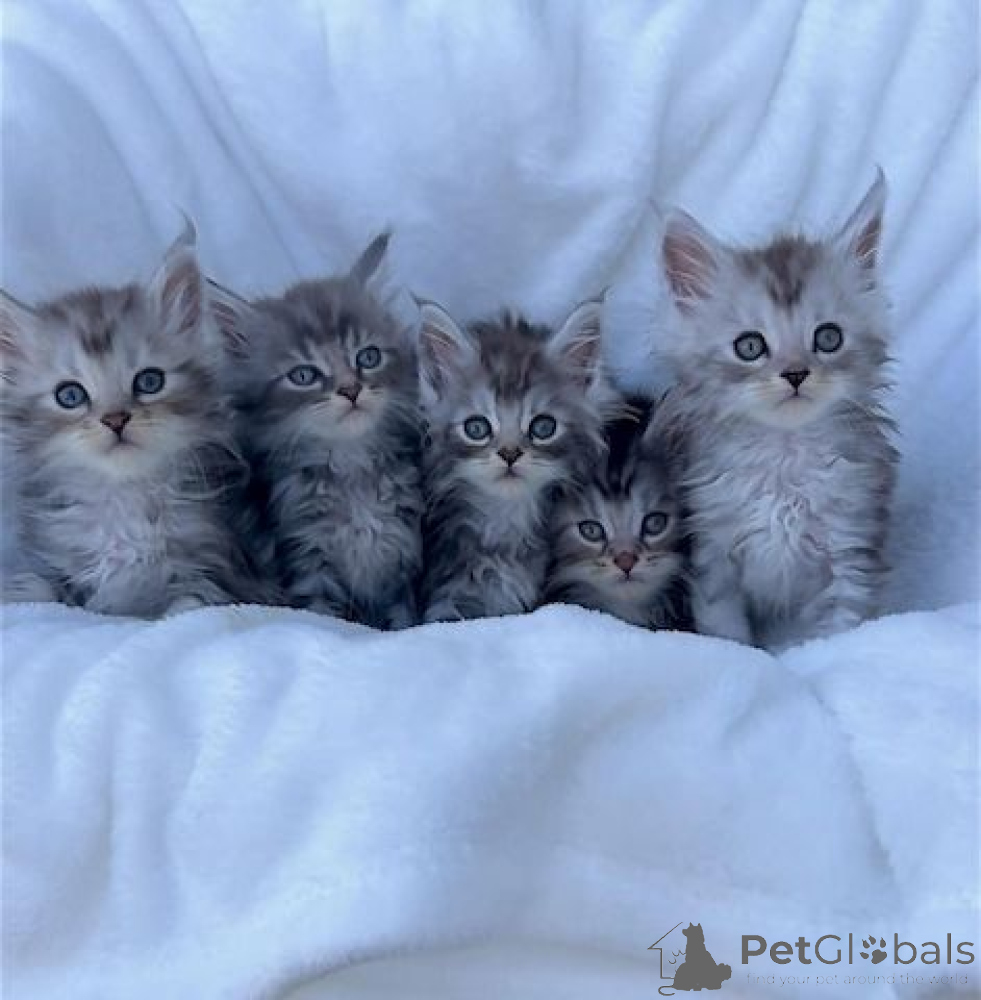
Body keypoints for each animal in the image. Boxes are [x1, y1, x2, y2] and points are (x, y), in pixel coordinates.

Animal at [0, 222, 258, 617]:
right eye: (70, 396)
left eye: (150, 381)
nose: (115, 419)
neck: (124, 502)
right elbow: (45, 587)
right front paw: (18, 590)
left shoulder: (228, 571)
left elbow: (189, 603)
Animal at [210, 232, 424, 629]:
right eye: (304, 375)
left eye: (368, 356)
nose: (351, 389)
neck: (352, 469)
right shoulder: (305, 560)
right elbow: (319, 617)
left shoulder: (405, 562)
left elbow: (405, 621)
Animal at [659, 170, 898, 650]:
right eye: (749, 346)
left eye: (828, 338)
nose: (795, 374)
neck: (785, 455)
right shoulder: (714, 558)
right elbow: (727, 633)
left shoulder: (849, 553)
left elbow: (839, 631)